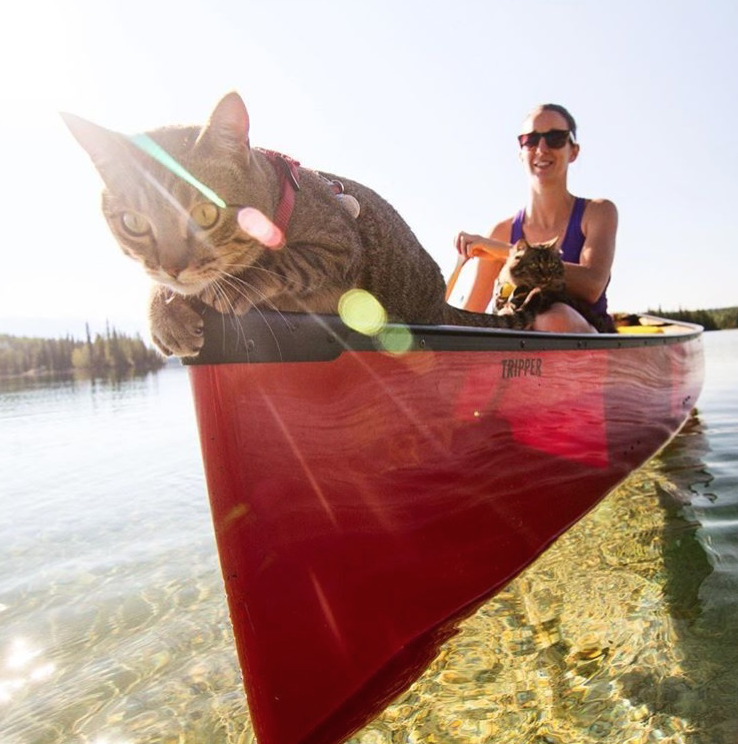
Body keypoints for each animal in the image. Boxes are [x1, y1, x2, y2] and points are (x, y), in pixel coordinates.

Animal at [61, 91, 592, 356]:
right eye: (133, 222)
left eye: (207, 212)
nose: (172, 266)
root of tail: (437, 305)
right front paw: (163, 309)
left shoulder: (340, 245)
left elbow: (285, 263)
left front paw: (231, 285)